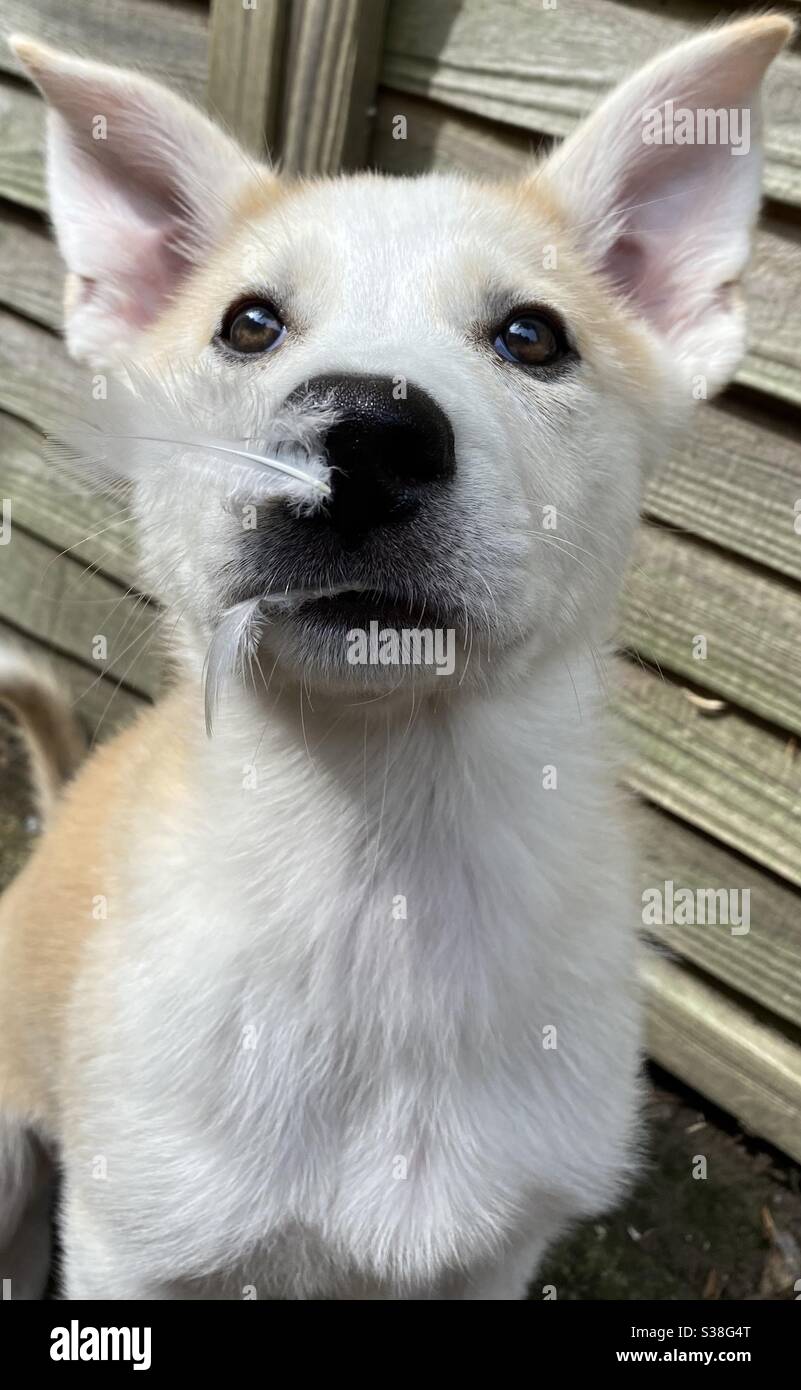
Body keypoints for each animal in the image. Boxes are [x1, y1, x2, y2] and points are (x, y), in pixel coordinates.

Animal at [0, 19, 789, 1301]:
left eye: (533, 335)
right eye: (250, 324)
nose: (362, 437)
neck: (383, 871)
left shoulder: (493, 1255)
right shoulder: (131, 1248)